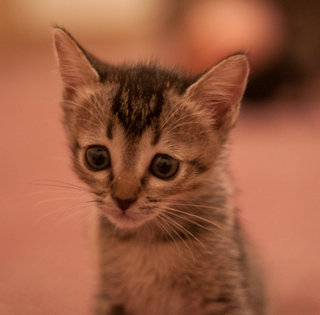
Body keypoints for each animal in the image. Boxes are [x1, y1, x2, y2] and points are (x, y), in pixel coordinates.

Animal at [53, 25, 264, 314]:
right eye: (97, 157)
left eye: (164, 166)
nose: (123, 199)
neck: (148, 243)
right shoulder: (110, 298)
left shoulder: (225, 296)